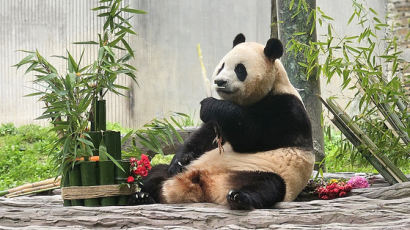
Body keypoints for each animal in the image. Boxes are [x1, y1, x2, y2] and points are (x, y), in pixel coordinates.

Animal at [131, 34, 314, 210]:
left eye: (240, 69)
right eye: (222, 66)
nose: (220, 81)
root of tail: (203, 186)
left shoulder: (288, 109)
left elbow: (252, 137)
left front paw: (209, 104)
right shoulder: (217, 125)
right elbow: (200, 139)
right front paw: (179, 161)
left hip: (265, 172)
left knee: (269, 185)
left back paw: (239, 198)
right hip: (181, 172)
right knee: (156, 172)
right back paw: (143, 196)